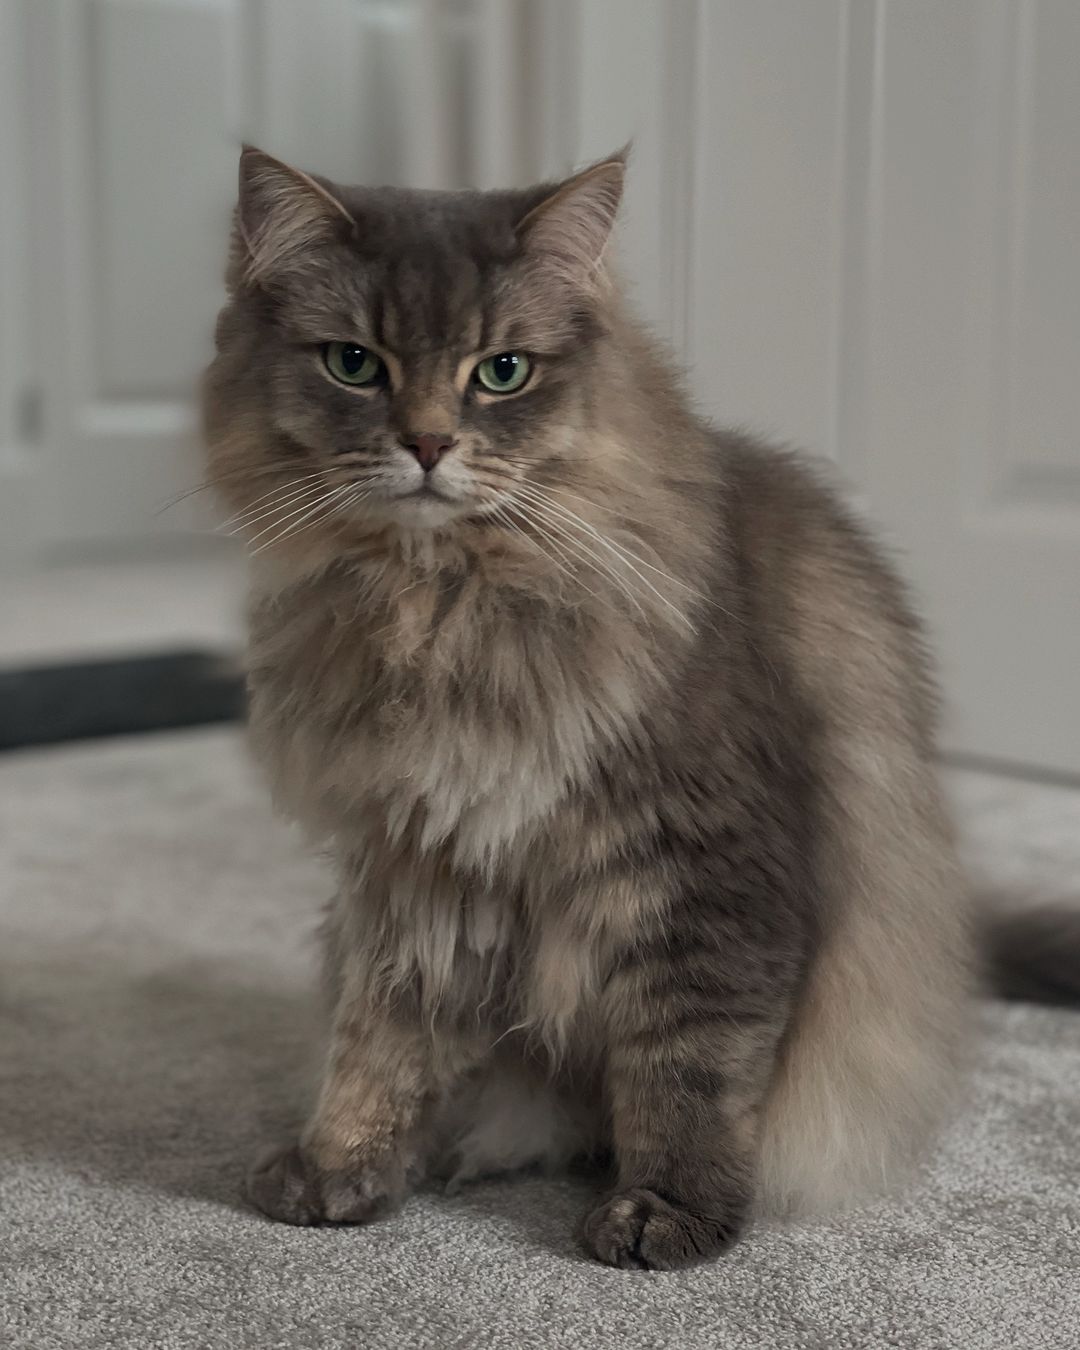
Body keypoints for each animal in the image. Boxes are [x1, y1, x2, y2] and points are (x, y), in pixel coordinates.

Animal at [205, 150, 1080, 1274]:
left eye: (502, 371)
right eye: (354, 363)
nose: (430, 444)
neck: (442, 604)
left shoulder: (701, 868)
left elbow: (687, 1066)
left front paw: (666, 1211)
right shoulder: (414, 865)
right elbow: (378, 1040)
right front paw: (340, 1166)